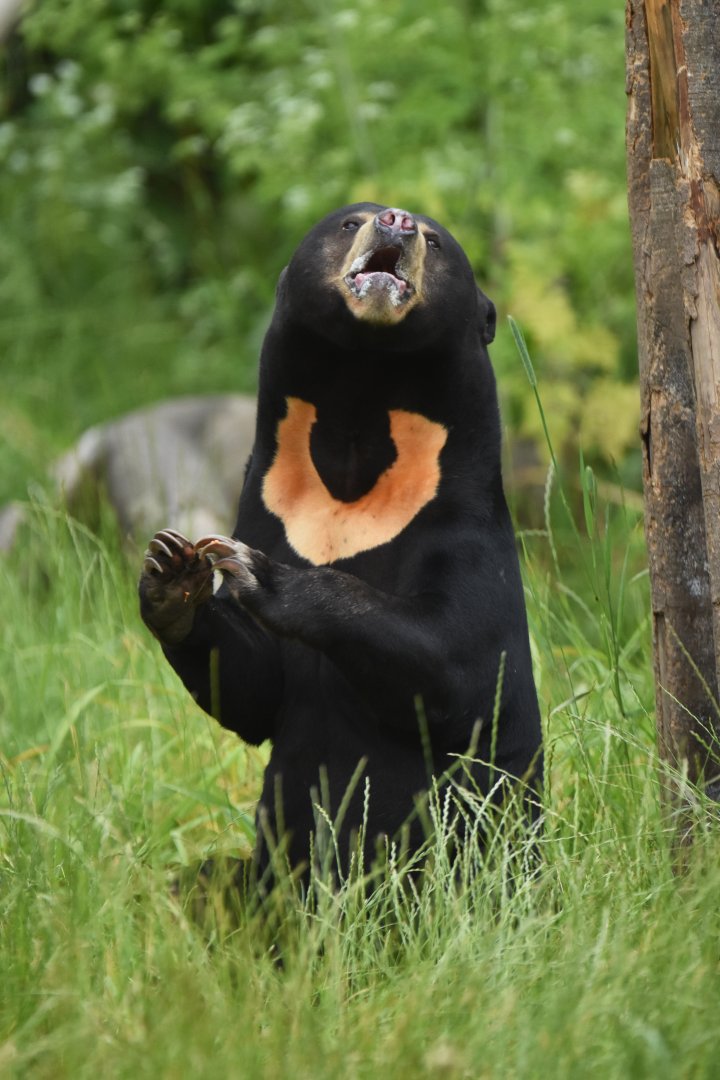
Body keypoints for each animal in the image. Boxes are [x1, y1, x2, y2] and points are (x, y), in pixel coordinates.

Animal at [138, 203, 543, 890]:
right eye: (351, 221)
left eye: (435, 241)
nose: (397, 220)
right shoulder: (268, 511)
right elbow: (257, 689)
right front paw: (175, 567)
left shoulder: (465, 529)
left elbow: (460, 664)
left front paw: (262, 575)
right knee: (201, 884)